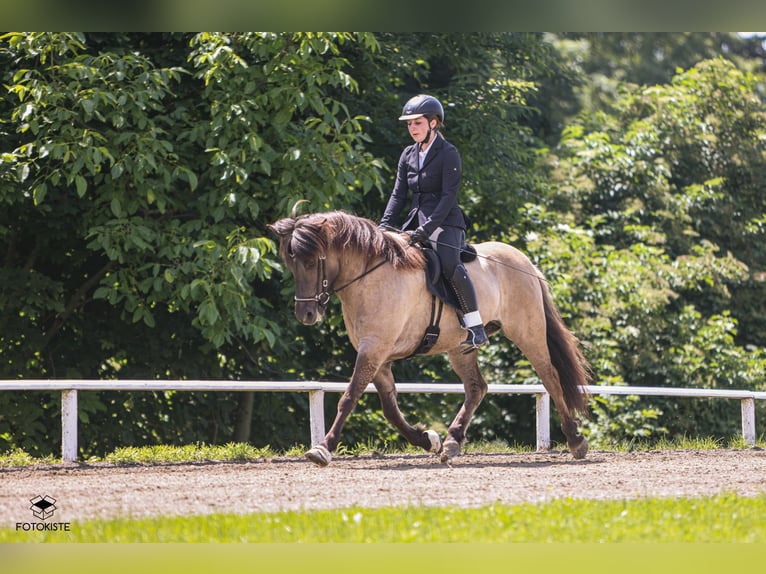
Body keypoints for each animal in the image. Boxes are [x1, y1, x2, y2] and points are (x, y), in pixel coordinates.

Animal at [268, 209, 591, 466]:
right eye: (290, 262)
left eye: (312, 262)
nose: (306, 314)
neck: (369, 276)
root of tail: (523, 260)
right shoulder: (379, 356)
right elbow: (390, 408)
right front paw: (427, 439)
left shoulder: (373, 349)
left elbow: (349, 397)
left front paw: (323, 448)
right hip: (461, 347)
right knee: (477, 387)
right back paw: (452, 442)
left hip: (528, 332)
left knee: (550, 378)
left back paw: (575, 440)